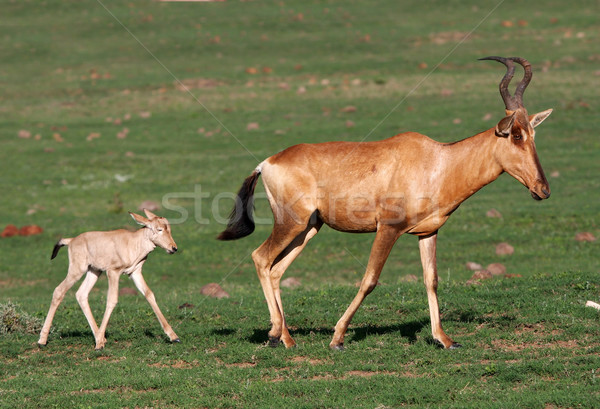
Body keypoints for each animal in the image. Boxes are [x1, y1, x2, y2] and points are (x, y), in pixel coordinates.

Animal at [36, 209, 178, 350]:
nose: (173, 248)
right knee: (59, 291)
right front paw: (98, 345)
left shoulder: (135, 273)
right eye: (159, 229)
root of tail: (71, 241)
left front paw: (174, 337)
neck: (132, 242)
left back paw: (100, 337)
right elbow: (112, 300)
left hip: (94, 271)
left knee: (81, 294)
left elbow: (149, 294)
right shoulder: (113, 272)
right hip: (77, 271)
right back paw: (42, 340)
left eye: (169, 229)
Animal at [218, 56, 552, 350]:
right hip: (291, 223)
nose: (543, 190)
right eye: (516, 134)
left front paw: (445, 339)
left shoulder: (428, 232)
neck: (438, 160)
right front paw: (338, 339)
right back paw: (278, 335)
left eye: (534, 133)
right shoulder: (387, 229)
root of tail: (267, 163)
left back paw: (284, 337)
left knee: (276, 270)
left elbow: (431, 280)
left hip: (309, 228)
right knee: (261, 258)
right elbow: (370, 280)